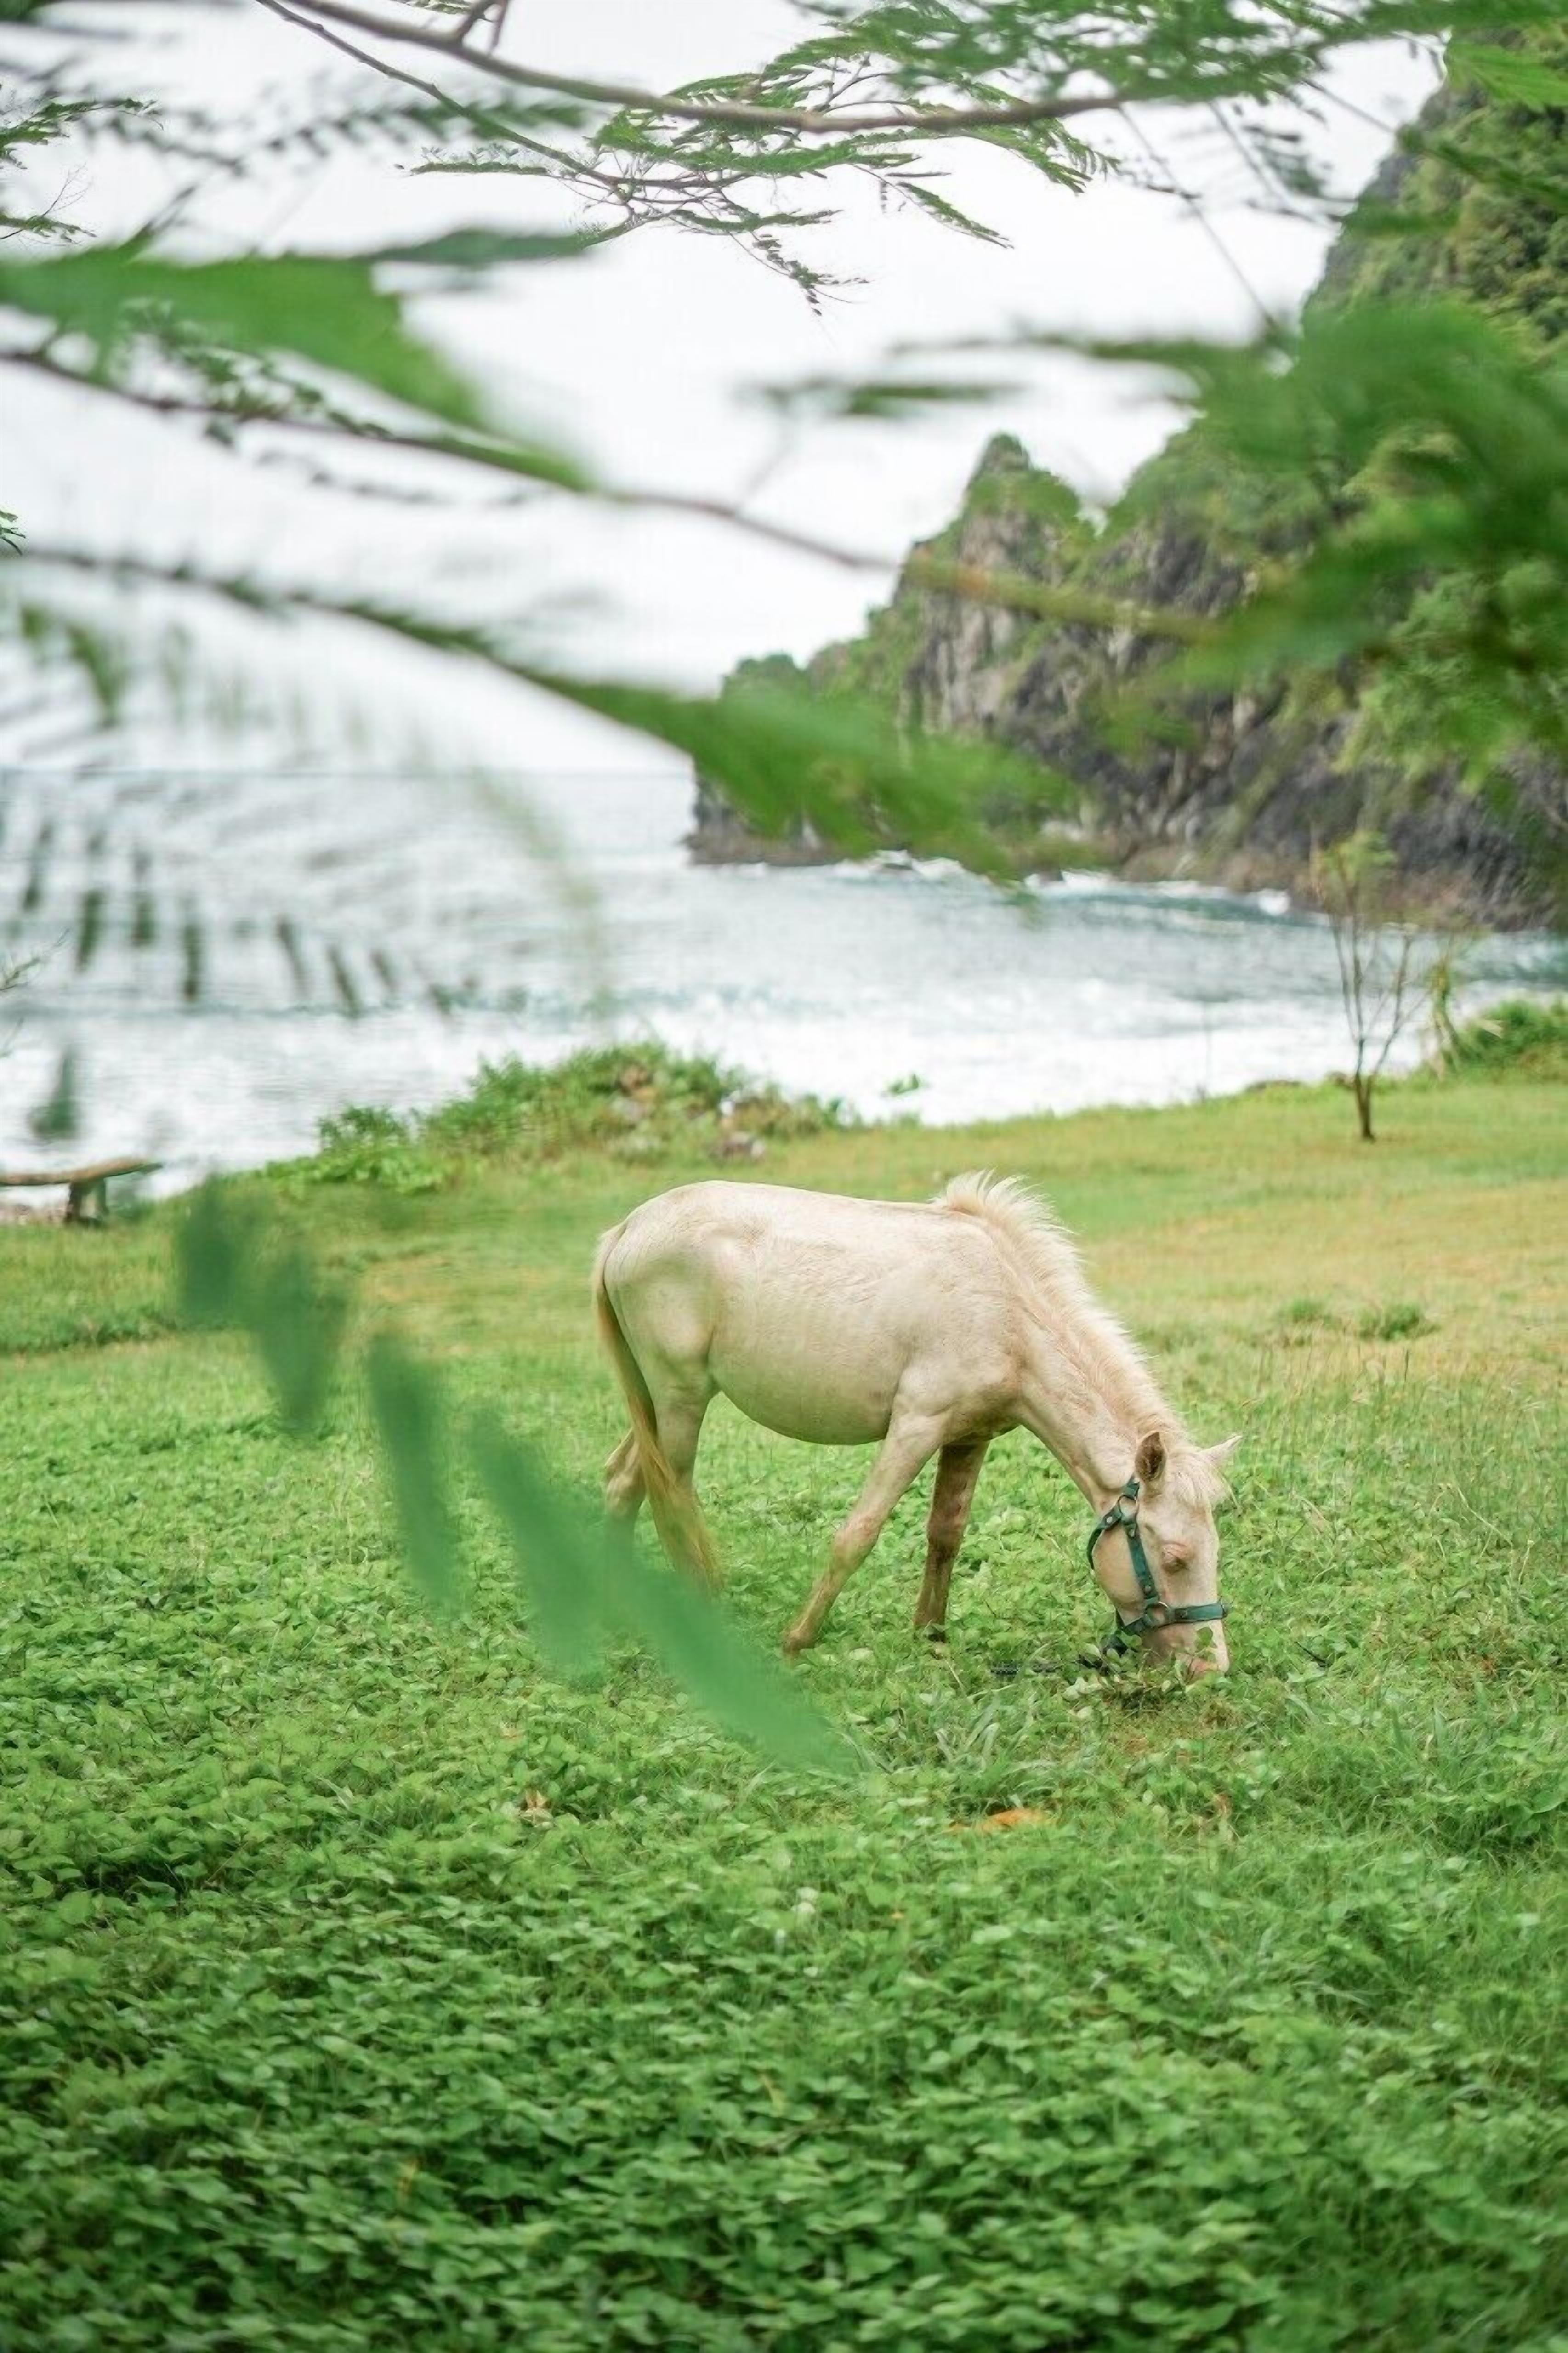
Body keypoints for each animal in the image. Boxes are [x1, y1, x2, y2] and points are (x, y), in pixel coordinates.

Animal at [592, 1171, 1238, 1669]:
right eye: (1175, 1557)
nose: (1211, 1668)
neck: (1007, 1314)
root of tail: (627, 1230)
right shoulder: (916, 1426)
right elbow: (857, 1534)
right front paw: (799, 1640)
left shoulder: (969, 1437)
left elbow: (946, 1533)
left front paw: (930, 1635)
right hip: (680, 1398)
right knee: (672, 1494)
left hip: (657, 1403)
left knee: (625, 1481)